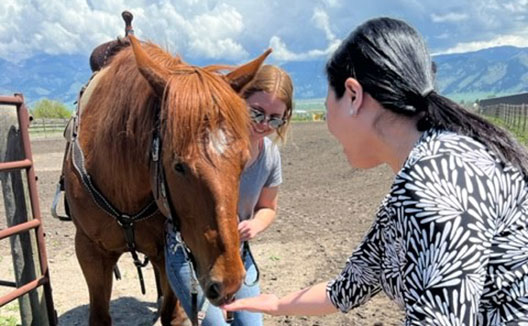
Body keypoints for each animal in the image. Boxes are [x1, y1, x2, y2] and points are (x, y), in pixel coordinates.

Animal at [65, 33, 272, 326]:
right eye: (178, 166)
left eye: (244, 162)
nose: (229, 282)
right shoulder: (89, 250)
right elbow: (100, 316)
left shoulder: (167, 252)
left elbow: (171, 314)